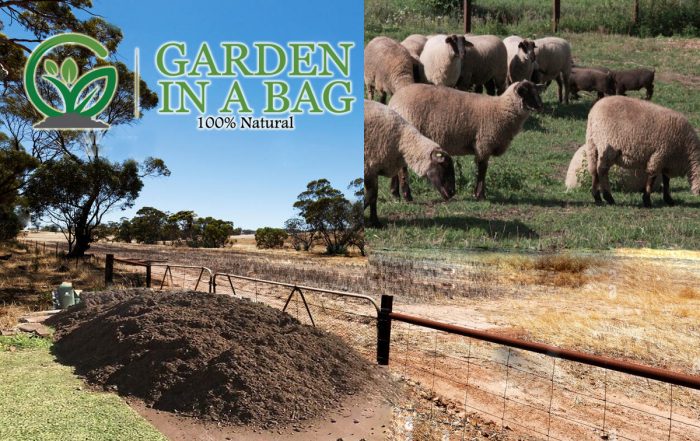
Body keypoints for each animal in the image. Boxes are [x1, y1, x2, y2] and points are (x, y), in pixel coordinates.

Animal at [388, 81, 544, 200]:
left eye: (537, 91)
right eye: (527, 92)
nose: (540, 106)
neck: (501, 109)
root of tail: (394, 102)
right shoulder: (484, 144)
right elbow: (482, 170)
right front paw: (480, 195)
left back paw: (395, 193)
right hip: (409, 136)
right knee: (402, 168)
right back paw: (407, 195)